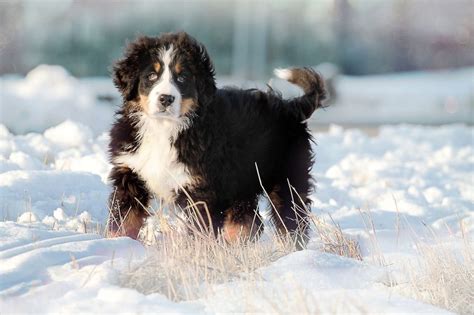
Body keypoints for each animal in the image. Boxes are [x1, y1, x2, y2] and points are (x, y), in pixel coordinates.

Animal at [107, 32, 326, 249]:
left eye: (182, 77)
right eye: (151, 75)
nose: (166, 99)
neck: (164, 128)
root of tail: (291, 107)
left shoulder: (201, 189)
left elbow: (200, 229)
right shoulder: (130, 173)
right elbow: (124, 218)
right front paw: (117, 244)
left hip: (287, 178)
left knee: (290, 216)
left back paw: (291, 249)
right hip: (242, 180)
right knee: (248, 219)